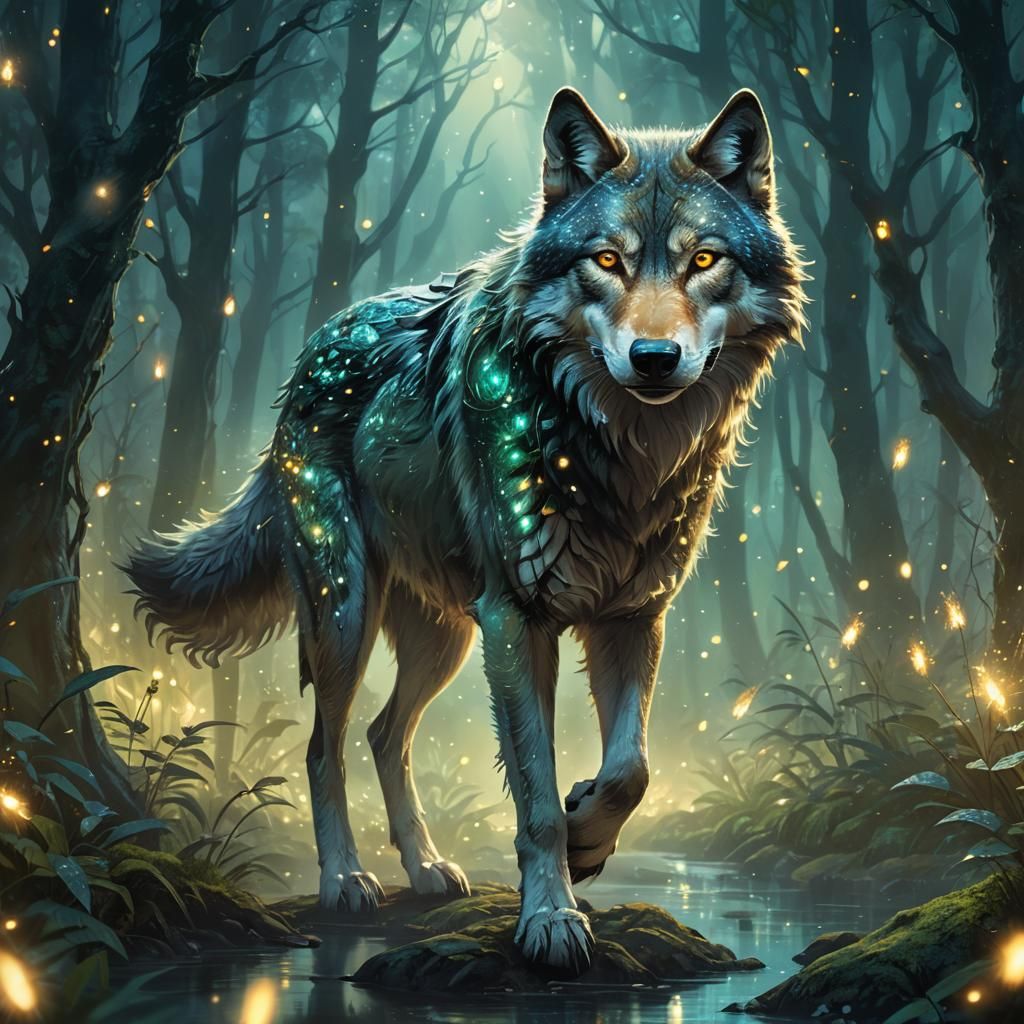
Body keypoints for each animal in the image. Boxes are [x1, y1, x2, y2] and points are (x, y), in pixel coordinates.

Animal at [123, 87, 805, 974]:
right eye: (607, 261)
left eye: (703, 260)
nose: (654, 358)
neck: (616, 454)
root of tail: (309, 351)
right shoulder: (516, 621)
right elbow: (536, 795)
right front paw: (551, 918)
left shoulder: (633, 618)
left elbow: (632, 769)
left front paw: (589, 838)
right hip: (348, 617)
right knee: (323, 747)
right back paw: (346, 880)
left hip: (444, 640)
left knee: (384, 734)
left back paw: (425, 869)